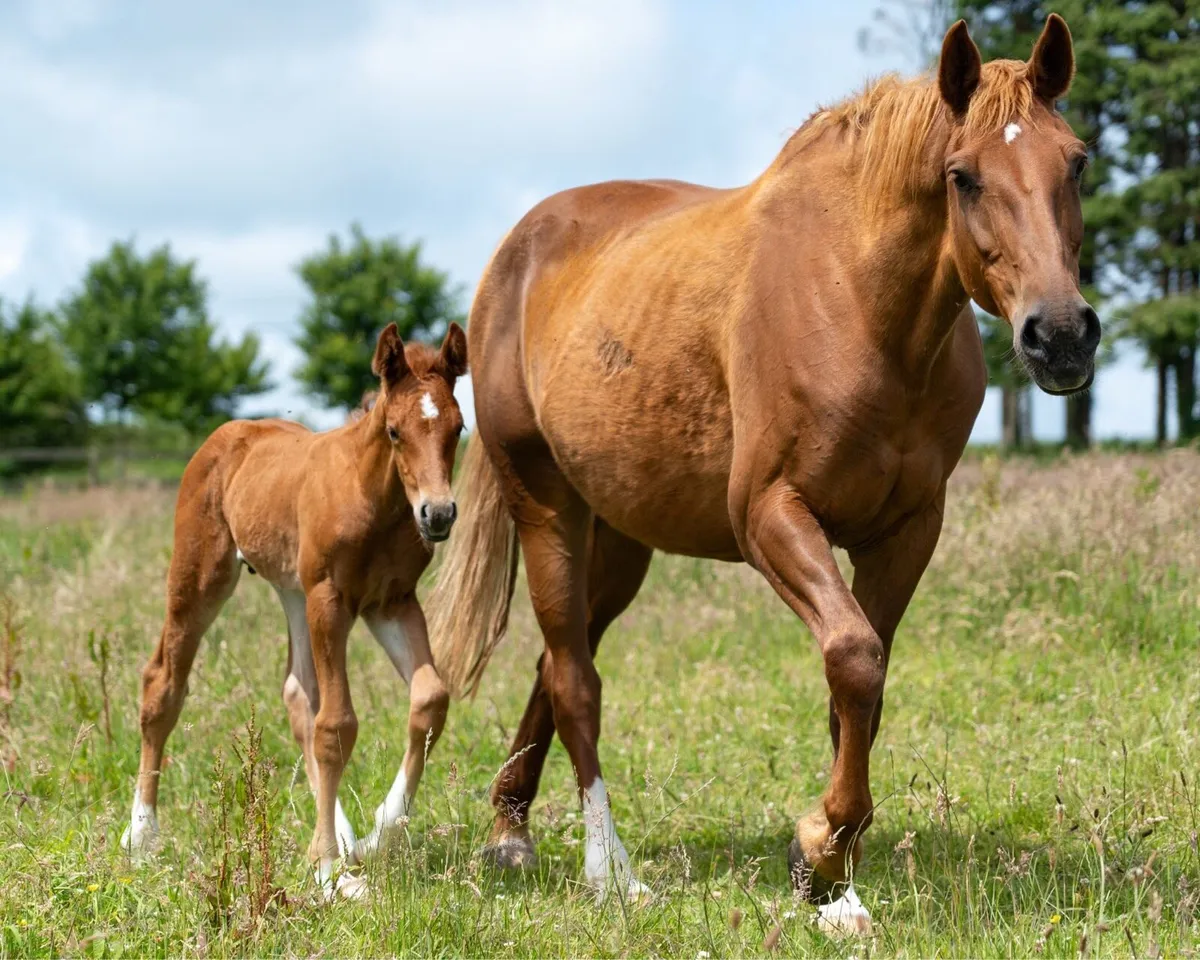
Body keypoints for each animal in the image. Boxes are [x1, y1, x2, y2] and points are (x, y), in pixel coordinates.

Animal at [122, 323, 468, 898]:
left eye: (459, 429)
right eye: (395, 431)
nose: (437, 515)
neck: (372, 497)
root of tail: (229, 433)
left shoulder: (391, 602)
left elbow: (429, 698)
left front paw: (374, 837)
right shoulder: (331, 598)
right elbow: (338, 725)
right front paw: (327, 870)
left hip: (293, 591)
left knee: (296, 693)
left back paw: (346, 837)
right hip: (203, 576)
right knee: (163, 683)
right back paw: (141, 835)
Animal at [425, 16, 1098, 934]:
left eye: (1077, 162)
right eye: (962, 176)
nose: (1060, 335)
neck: (859, 303)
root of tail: (512, 257)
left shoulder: (907, 531)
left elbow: (861, 689)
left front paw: (832, 875)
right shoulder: (772, 516)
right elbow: (854, 656)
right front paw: (821, 850)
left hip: (621, 543)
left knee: (552, 670)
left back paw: (510, 829)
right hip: (548, 509)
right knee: (574, 680)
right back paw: (610, 872)